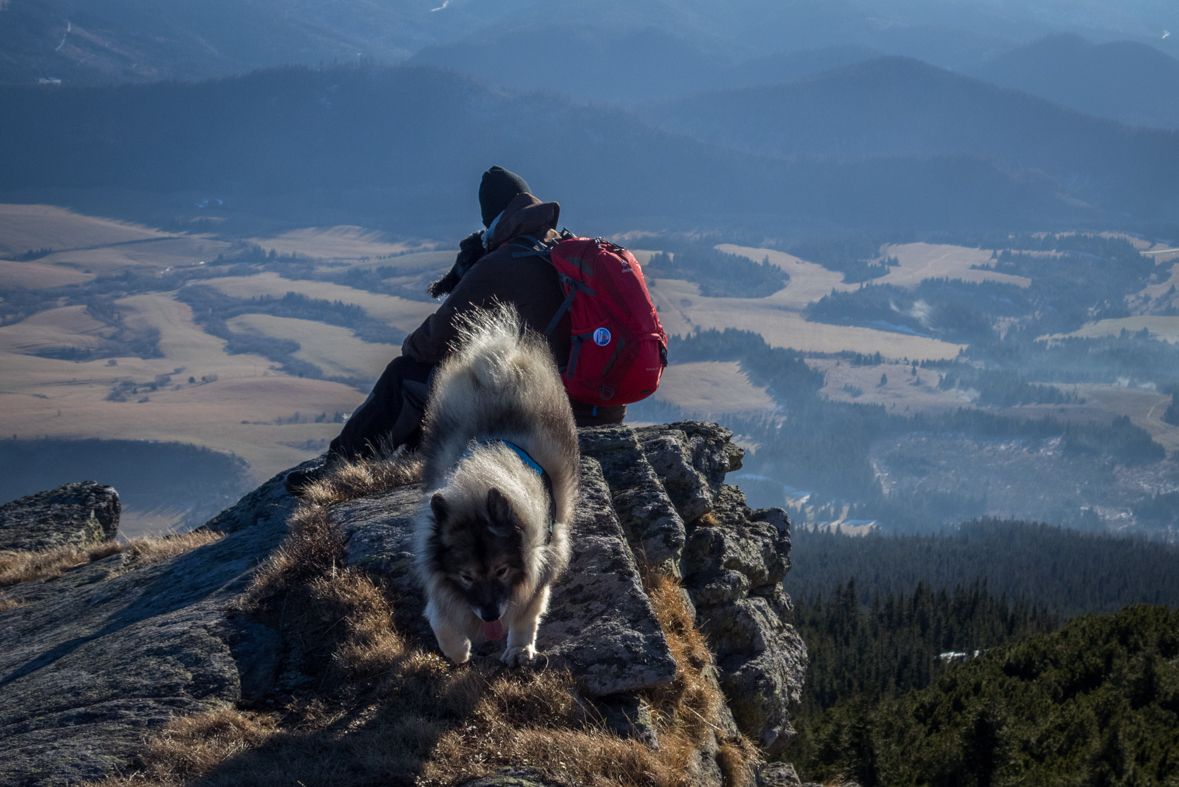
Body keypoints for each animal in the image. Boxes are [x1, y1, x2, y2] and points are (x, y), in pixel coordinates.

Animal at [415, 301, 580, 664]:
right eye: (466, 576)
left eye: (502, 571)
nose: (490, 615)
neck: (476, 493)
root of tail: (495, 368)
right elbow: (440, 617)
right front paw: (457, 649)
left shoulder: (542, 560)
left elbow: (526, 613)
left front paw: (519, 649)